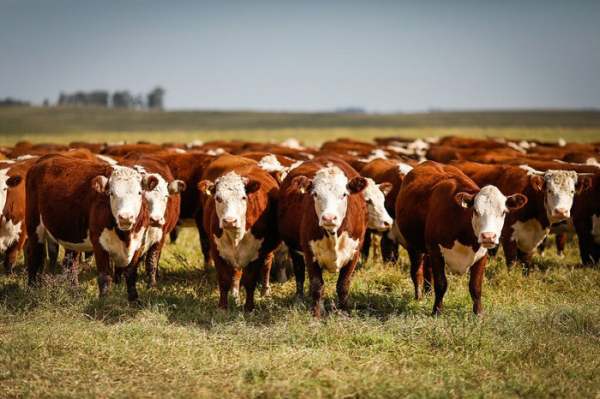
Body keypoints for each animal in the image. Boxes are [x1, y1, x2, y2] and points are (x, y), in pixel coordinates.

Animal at [26, 155, 156, 302]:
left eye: (139, 193)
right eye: (111, 193)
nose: (125, 217)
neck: (125, 236)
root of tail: (46, 158)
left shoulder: (137, 243)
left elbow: (130, 273)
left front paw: (135, 300)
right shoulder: (99, 243)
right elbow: (105, 275)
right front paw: (104, 300)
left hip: (72, 234)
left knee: (70, 264)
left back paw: (75, 292)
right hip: (34, 225)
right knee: (34, 257)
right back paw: (31, 289)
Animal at [197, 155, 282, 312]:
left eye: (243, 197)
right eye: (217, 198)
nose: (229, 221)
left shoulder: (258, 253)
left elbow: (250, 281)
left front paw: (249, 308)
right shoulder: (217, 251)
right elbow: (224, 280)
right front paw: (223, 307)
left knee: (267, 265)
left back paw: (265, 291)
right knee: (236, 272)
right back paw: (235, 295)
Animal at [278, 158, 370, 318]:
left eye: (344, 194)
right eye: (315, 194)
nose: (329, 218)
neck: (333, 235)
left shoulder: (354, 252)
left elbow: (343, 285)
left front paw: (344, 314)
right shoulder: (310, 253)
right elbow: (316, 286)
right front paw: (316, 315)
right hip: (295, 250)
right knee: (300, 273)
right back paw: (301, 301)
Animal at [396, 162, 528, 316]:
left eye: (503, 212)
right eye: (475, 210)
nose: (488, 236)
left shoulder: (482, 254)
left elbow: (476, 285)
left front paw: (478, 314)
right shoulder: (436, 250)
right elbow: (441, 283)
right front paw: (437, 311)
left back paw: (429, 294)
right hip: (412, 244)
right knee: (417, 271)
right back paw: (420, 298)